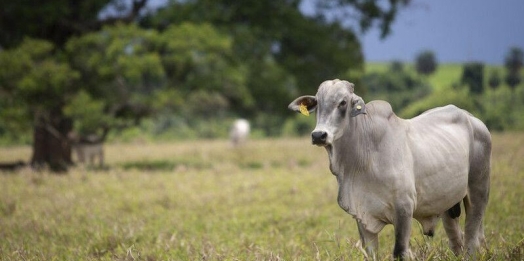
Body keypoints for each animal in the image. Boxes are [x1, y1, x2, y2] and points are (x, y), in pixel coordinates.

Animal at [286, 78, 492, 258]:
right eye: (318, 104)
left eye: (343, 102)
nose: (319, 135)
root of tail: (471, 118)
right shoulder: (362, 216)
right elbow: (370, 253)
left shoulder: (404, 209)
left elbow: (400, 251)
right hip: (448, 204)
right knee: (457, 241)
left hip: (478, 191)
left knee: (472, 239)